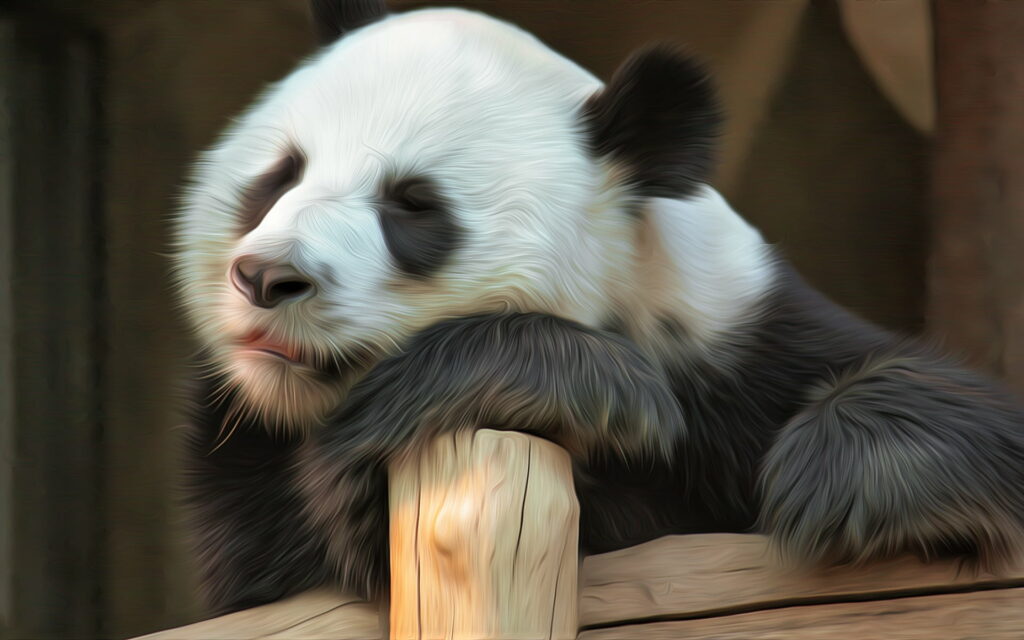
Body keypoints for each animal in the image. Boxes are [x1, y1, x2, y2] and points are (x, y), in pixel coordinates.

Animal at [172, 0, 1024, 615]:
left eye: (413, 205)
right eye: (281, 175)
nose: (268, 277)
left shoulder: (741, 336)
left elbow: (963, 414)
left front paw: (847, 475)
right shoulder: (242, 446)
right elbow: (288, 566)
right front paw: (586, 386)